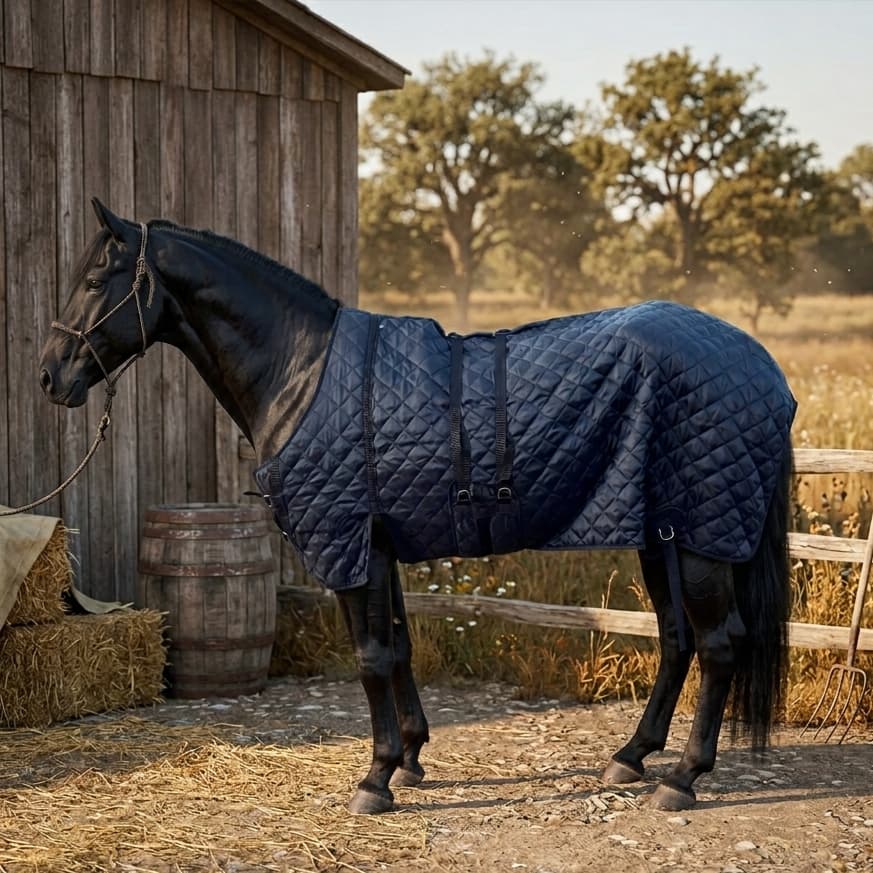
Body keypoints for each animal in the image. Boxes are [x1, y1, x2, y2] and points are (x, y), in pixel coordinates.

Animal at [39, 199, 795, 815]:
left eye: (94, 280)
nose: (49, 375)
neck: (302, 370)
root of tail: (760, 365)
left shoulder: (347, 543)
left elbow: (371, 656)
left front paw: (374, 780)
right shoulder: (381, 544)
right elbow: (399, 647)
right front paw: (408, 758)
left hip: (701, 534)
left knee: (719, 644)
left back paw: (682, 778)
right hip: (662, 533)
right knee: (676, 640)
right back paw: (631, 758)